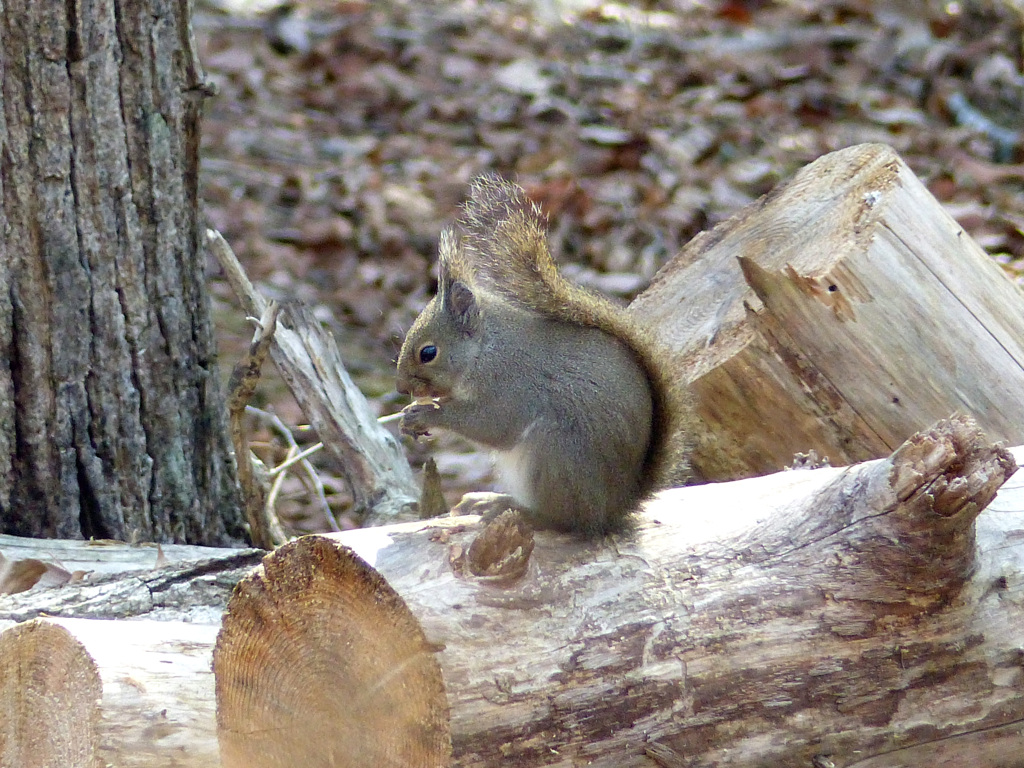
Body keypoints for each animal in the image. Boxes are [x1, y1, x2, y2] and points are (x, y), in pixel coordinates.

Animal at [395, 175, 692, 536]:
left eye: (428, 353)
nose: (400, 387)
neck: (486, 349)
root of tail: (613, 509)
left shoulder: (509, 384)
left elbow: (492, 424)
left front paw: (426, 414)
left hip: (555, 454)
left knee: (563, 520)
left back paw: (514, 509)